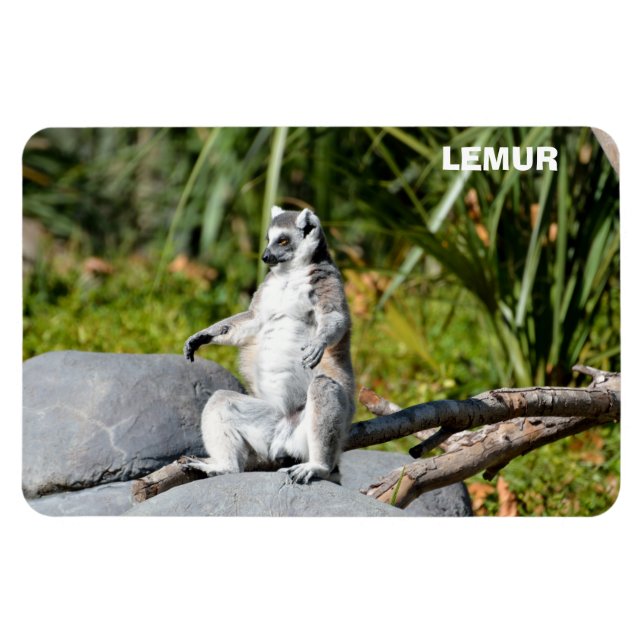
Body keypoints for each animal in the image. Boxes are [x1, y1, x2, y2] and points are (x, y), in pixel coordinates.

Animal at [182, 206, 354, 484]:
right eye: (268, 239)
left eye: (282, 240)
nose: (265, 256)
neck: (290, 275)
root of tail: (284, 435)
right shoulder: (267, 290)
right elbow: (252, 320)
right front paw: (204, 336)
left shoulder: (327, 282)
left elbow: (335, 318)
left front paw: (319, 342)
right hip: (267, 425)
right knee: (221, 400)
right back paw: (224, 467)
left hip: (307, 433)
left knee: (323, 388)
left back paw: (318, 466)